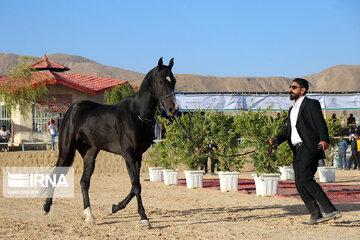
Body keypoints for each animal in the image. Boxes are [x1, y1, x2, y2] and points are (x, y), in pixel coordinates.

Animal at [43, 58, 179, 227]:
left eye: (173, 80)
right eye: (161, 81)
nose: (173, 108)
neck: (137, 114)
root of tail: (72, 109)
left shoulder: (138, 156)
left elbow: (134, 186)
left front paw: (113, 208)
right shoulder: (128, 155)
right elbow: (136, 186)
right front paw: (143, 217)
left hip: (90, 153)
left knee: (84, 182)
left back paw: (89, 215)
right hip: (66, 150)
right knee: (57, 174)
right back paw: (46, 206)